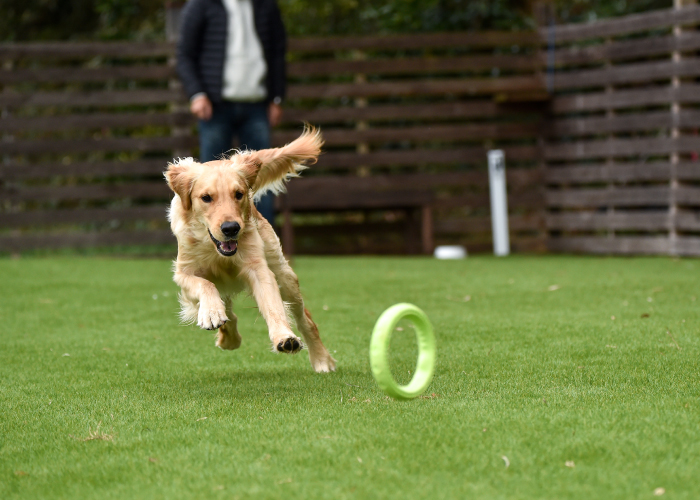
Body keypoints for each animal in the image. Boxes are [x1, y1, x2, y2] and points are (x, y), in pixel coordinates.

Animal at [167, 127, 336, 374]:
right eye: (206, 198)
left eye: (238, 194)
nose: (231, 228)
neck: (215, 250)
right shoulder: (183, 272)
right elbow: (204, 284)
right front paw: (212, 313)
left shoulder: (259, 269)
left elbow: (273, 306)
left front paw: (284, 337)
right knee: (227, 308)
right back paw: (228, 337)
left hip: (284, 275)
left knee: (305, 319)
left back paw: (322, 360)